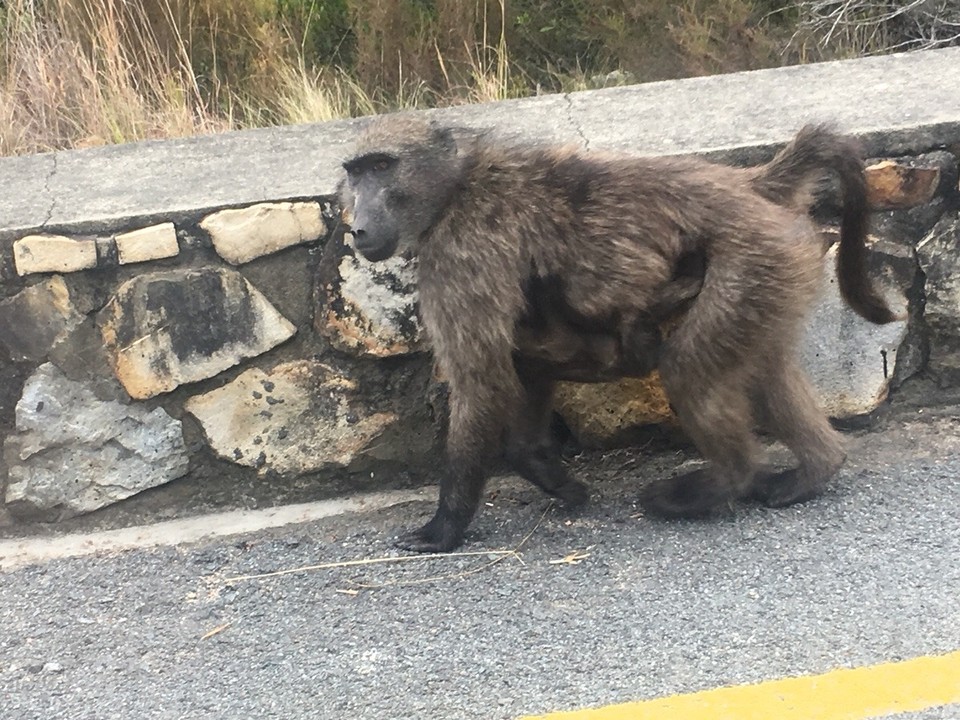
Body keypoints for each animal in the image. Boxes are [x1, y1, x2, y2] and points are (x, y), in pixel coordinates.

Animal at [337, 113, 897, 552]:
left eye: (382, 166)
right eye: (355, 172)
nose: (357, 227)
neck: (458, 185)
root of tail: (749, 185)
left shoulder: (460, 254)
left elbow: (481, 382)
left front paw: (444, 528)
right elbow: (516, 367)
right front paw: (547, 472)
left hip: (750, 260)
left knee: (689, 369)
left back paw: (716, 486)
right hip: (776, 272)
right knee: (762, 367)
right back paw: (816, 470)